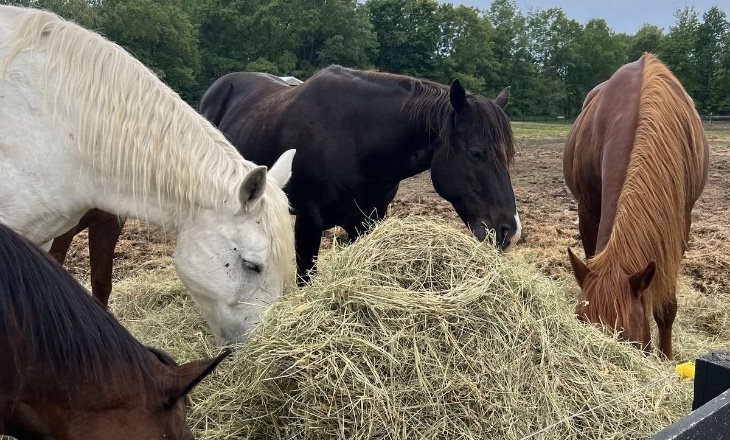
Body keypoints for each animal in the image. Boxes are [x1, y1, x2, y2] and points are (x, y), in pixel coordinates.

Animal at [199, 66, 522, 283]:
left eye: (508, 155)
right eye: (476, 153)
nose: (509, 231)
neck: (356, 138)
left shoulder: (366, 222)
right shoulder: (308, 222)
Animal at [563, 53, 709, 359]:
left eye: (627, 337)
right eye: (579, 322)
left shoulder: (680, 223)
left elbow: (665, 305)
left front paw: (666, 357)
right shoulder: (587, 210)